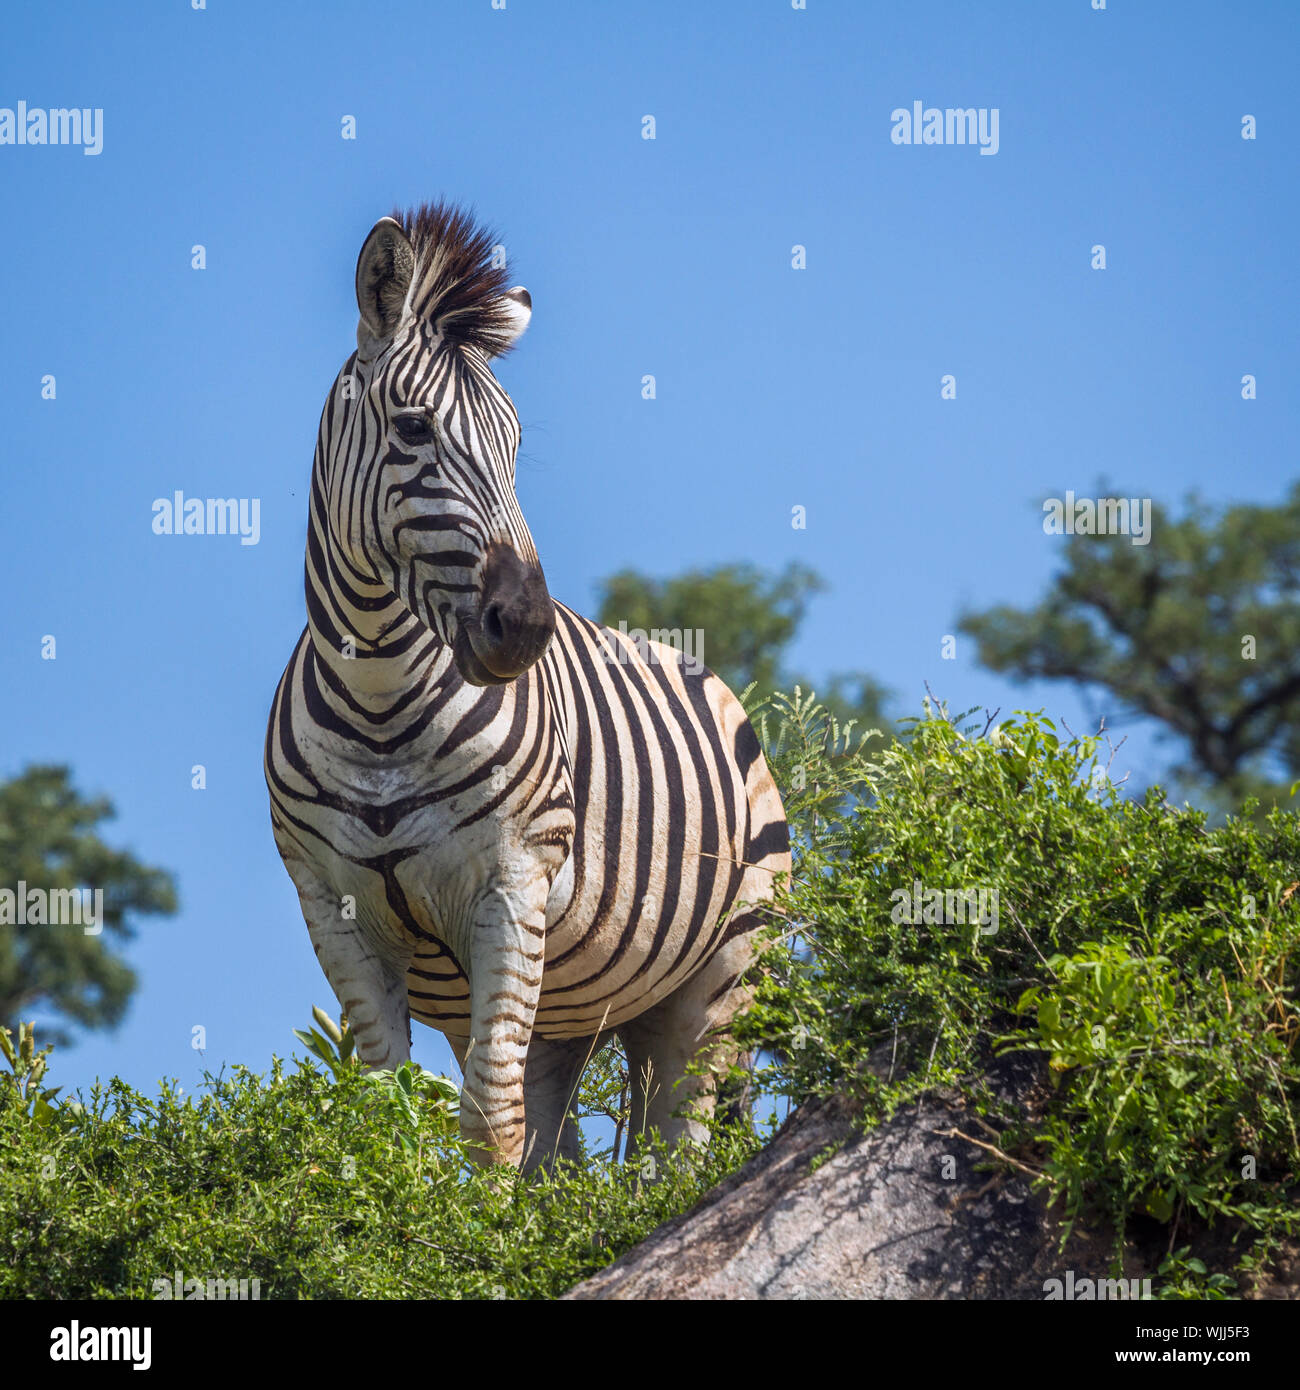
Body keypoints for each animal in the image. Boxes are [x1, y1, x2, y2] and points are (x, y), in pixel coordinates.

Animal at [265, 203, 790, 1169]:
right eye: (413, 430)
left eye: (513, 445)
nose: (529, 626)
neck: (380, 706)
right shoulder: (334, 911)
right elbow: (386, 1122)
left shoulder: (511, 885)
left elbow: (489, 1122)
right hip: (570, 1002)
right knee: (566, 1147)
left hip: (719, 977)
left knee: (673, 1152)